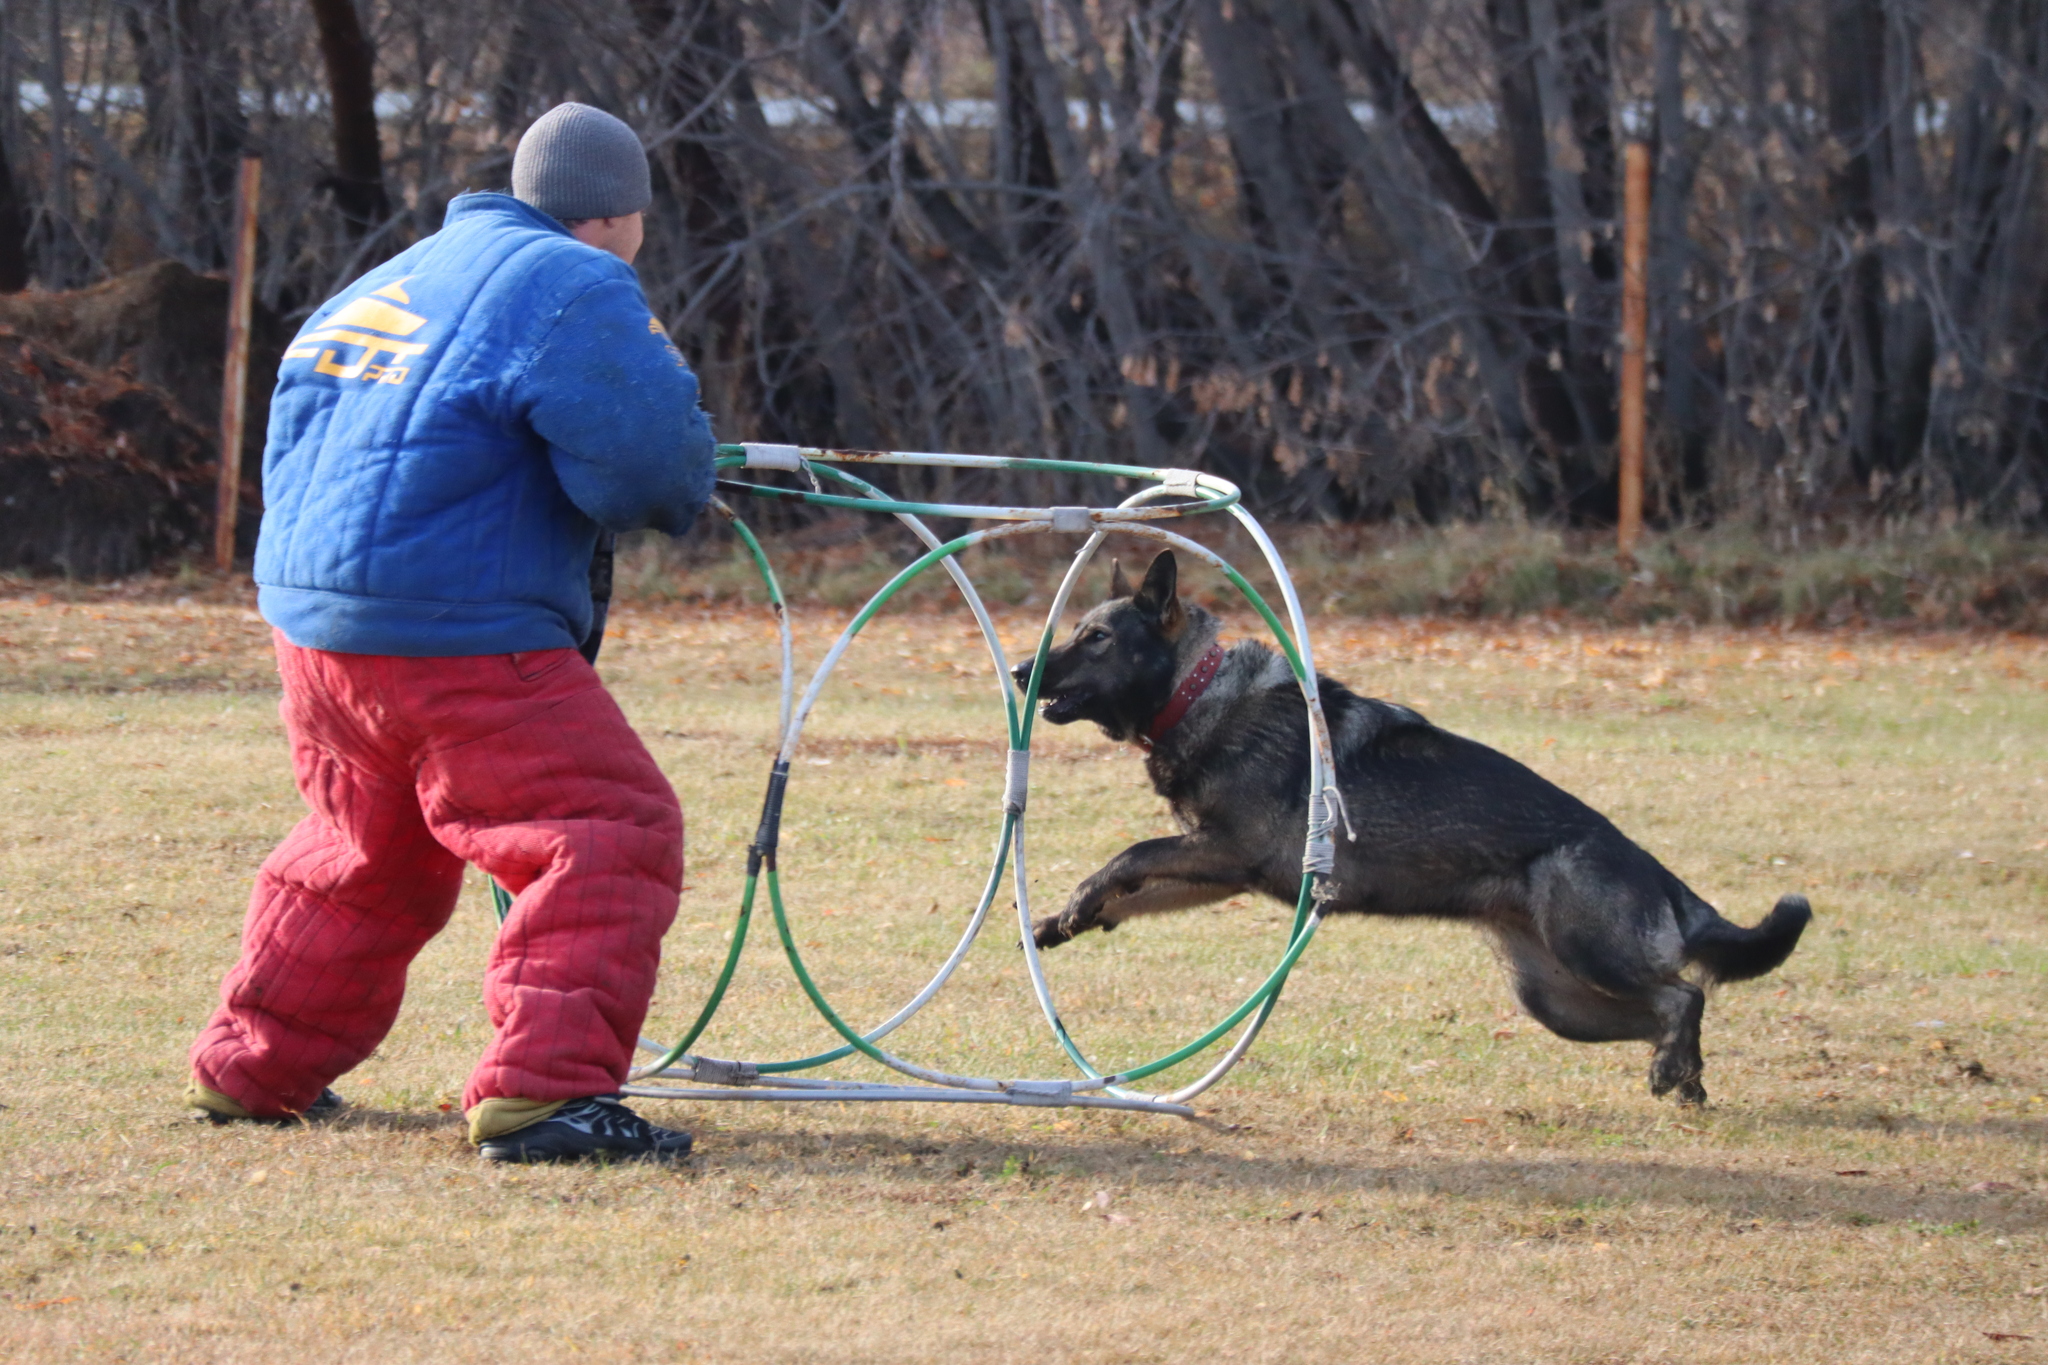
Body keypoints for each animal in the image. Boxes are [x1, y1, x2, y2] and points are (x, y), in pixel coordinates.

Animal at [1019, 548, 1810, 1105]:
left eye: (1095, 638)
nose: (1023, 669)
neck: (1196, 692)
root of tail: (1662, 877)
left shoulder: (1225, 851)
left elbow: (1131, 853)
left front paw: (1080, 900)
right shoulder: (1220, 870)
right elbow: (1136, 885)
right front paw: (1063, 920)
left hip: (1590, 957)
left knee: (1684, 994)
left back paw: (1676, 1067)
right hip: (1558, 1001)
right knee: (1664, 1009)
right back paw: (1683, 1075)